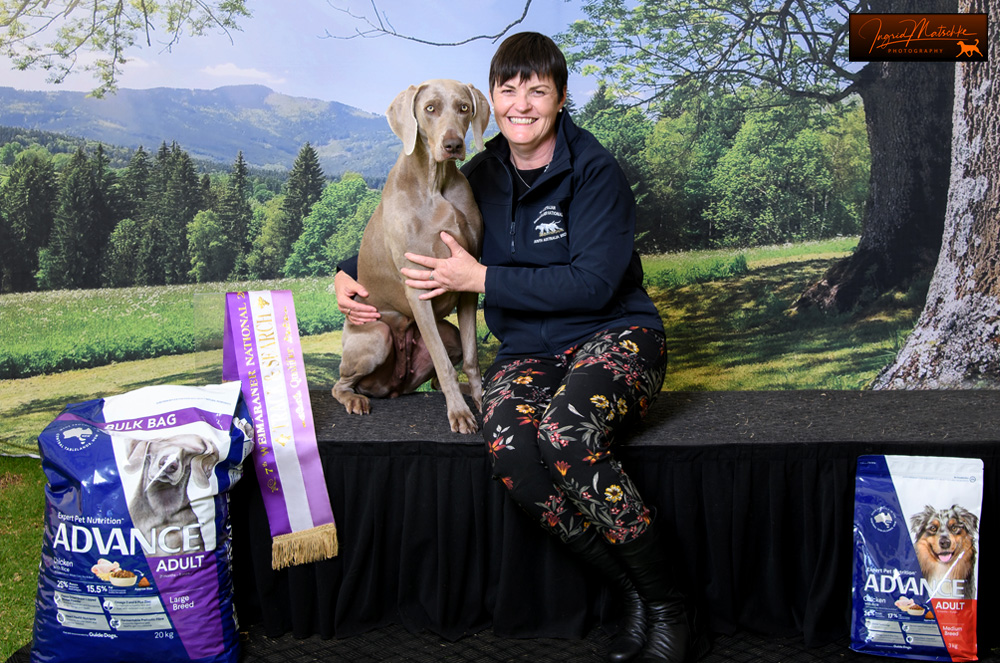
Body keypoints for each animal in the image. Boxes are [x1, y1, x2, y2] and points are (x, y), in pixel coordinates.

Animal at [334, 79, 490, 436]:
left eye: (464, 107)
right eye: (430, 108)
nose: (452, 144)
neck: (436, 183)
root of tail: (392, 388)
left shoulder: (468, 284)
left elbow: (472, 358)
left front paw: (478, 400)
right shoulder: (418, 287)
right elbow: (445, 366)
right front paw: (460, 414)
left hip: (446, 336)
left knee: (434, 375)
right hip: (376, 337)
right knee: (341, 384)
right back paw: (355, 400)